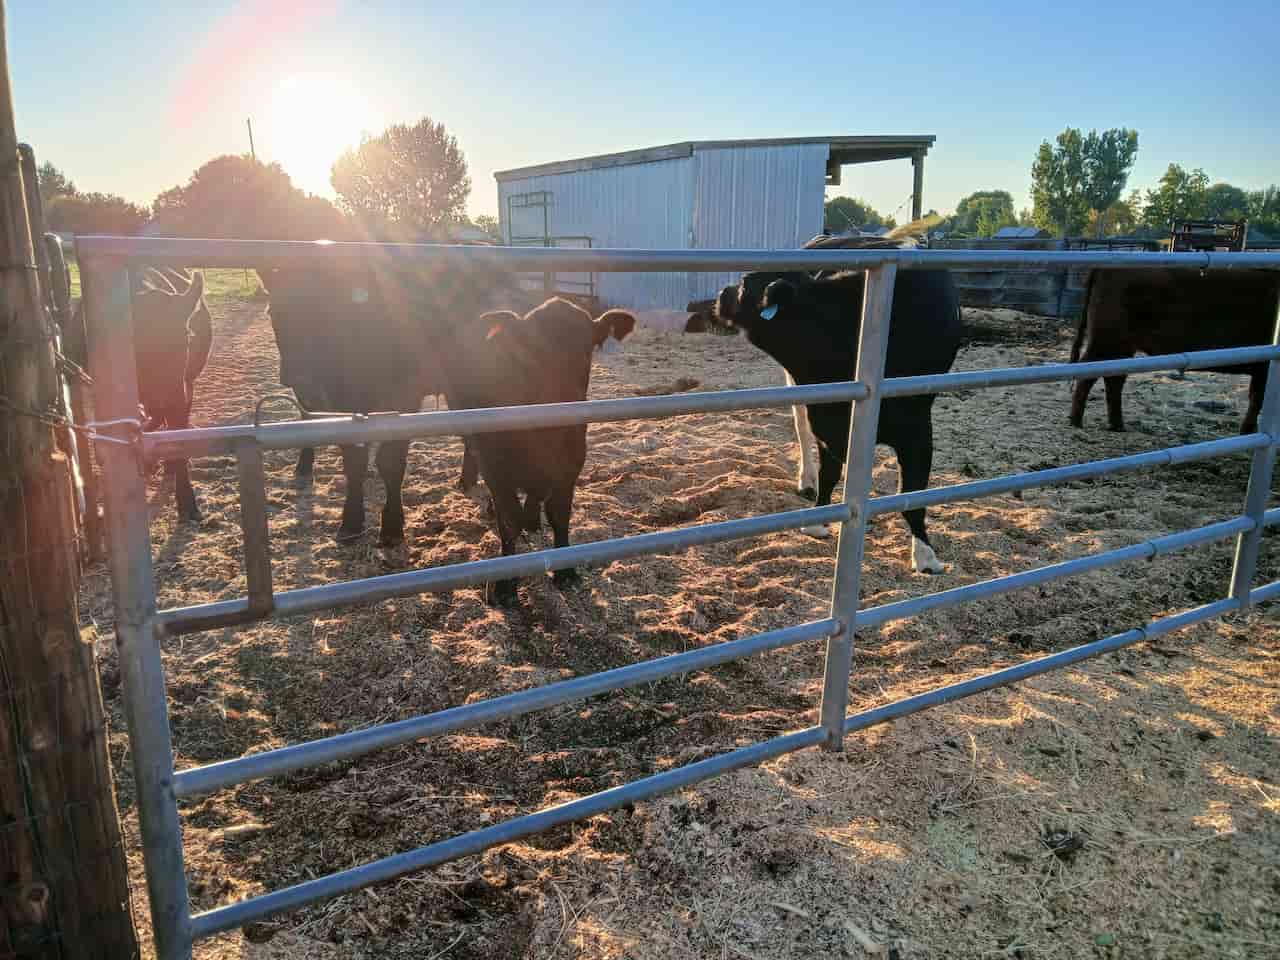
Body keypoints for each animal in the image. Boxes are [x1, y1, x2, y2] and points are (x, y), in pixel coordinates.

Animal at [438, 298, 637, 603]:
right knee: (471, 450)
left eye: (586, 348)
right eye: (534, 350)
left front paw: (565, 571)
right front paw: (505, 584)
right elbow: (509, 521)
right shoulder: (496, 468)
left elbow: (559, 515)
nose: (566, 398)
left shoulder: (570, 467)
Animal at [714, 246, 962, 574]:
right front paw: (816, 520)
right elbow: (829, 473)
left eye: (744, 283)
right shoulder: (824, 419)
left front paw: (925, 555)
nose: (721, 294)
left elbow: (913, 495)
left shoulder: (917, 431)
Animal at [1069, 269, 1280, 435]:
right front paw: (1248, 431)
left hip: (1121, 347)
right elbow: (1257, 399)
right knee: (1090, 373)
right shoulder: (1264, 368)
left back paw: (1116, 425)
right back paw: (1076, 421)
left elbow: (1257, 398)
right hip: (1107, 340)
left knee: (1113, 378)